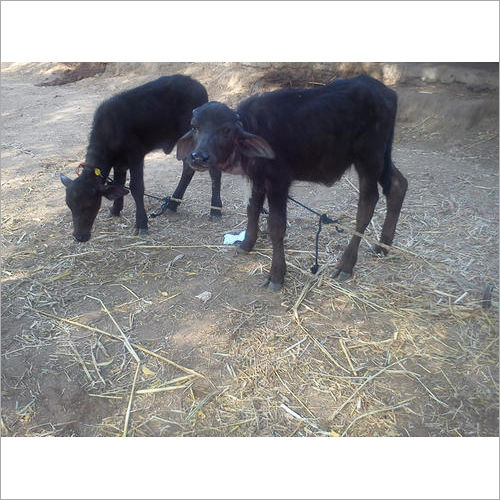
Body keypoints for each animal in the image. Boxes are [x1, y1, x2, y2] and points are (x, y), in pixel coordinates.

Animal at [58, 73, 221, 242]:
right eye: (69, 205)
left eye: (89, 205)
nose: (79, 236)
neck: (111, 130)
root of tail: (198, 86)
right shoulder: (120, 163)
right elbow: (119, 184)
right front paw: (116, 209)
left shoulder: (135, 156)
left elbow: (136, 187)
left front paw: (142, 223)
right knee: (188, 169)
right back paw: (172, 204)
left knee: (213, 170)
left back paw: (215, 210)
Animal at [178, 76, 408, 292]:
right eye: (194, 127)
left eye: (226, 130)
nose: (198, 157)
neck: (255, 127)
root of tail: (387, 93)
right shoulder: (258, 179)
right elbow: (252, 209)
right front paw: (246, 244)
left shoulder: (278, 183)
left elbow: (276, 226)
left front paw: (277, 275)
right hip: (382, 156)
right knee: (398, 184)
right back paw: (383, 246)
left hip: (369, 158)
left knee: (368, 203)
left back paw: (346, 264)